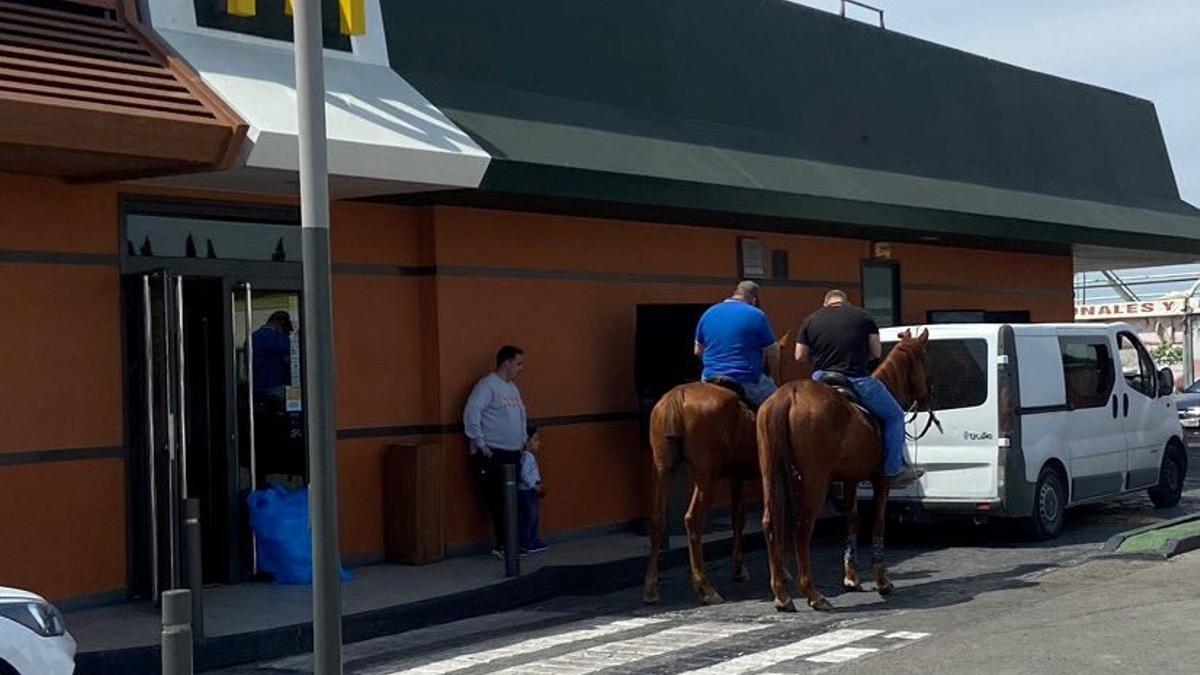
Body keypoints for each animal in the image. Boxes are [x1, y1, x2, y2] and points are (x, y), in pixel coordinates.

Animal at [643, 333, 792, 600]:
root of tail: (677, 397)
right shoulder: (770, 475)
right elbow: (774, 515)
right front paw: (782, 570)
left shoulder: (737, 477)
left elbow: (738, 518)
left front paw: (739, 568)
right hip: (706, 475)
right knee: (693, 519)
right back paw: (705, 587)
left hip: (663, 468)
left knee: (657, 520)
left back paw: (651, 587)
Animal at [753, 326, 931, 610]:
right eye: (924, 359)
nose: (927, 397)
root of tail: (788, 395)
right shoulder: (881, 479)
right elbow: (878, 522)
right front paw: (882, 581)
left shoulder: (850, 479)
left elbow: (852, 519)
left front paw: (851, 577)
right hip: (815, 480)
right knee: (802, 528)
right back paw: (813, 594)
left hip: (771, 474)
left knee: (771, 523)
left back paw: (782, 594)